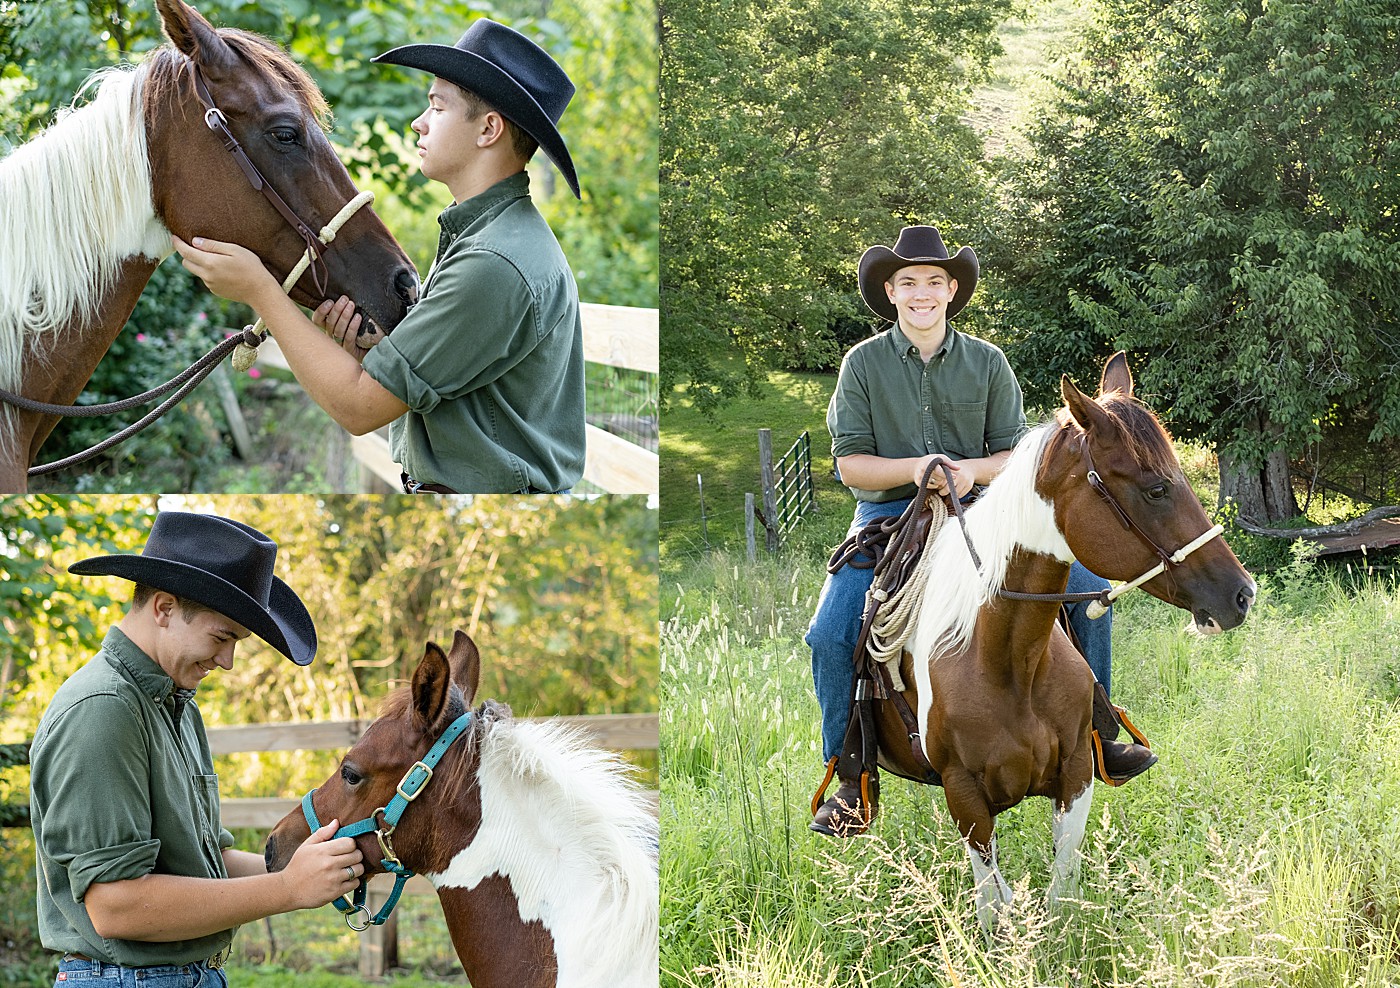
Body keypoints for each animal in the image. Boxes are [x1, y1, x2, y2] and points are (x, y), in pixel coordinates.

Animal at [873, 349, 1260, 929]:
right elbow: (994, 906)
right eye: (1156, 488)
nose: (1242, 594)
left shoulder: (1077, 774)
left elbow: (1062, 892)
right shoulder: (965, 798)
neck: (1004, 659)